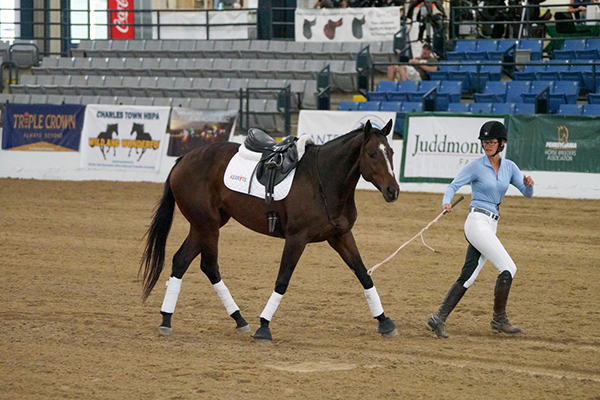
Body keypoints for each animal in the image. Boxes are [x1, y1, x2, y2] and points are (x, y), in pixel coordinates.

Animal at [139, 119, 400, 340]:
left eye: (392, 152)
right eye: (372, 154)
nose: (393, 191)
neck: (323, 180)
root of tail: (183, 159)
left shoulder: (340, 236)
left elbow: (363, 274)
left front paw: (384, 321)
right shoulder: (296, 238)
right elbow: (282, 280)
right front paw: (264, 325)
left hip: (202, 225)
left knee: (181, 261)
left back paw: (172, 318)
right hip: (208, 226)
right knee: (209, 266)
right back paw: (234, 318)